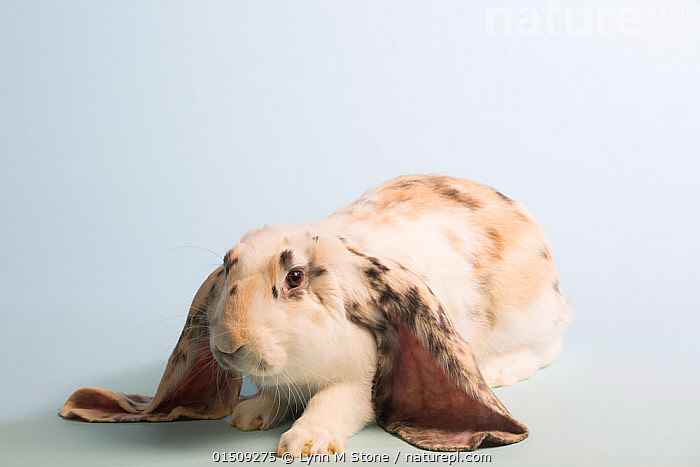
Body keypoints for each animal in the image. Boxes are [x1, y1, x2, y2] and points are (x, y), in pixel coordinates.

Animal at [60, 174, 571, 456]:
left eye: (295, 278)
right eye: (228, 264)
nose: (228, 344)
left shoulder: (360, 379)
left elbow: (336, 403)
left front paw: (306, 443)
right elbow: (272, 396)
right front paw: (249, 415)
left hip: (530, 322)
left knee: (547, 350)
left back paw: (499, 369)